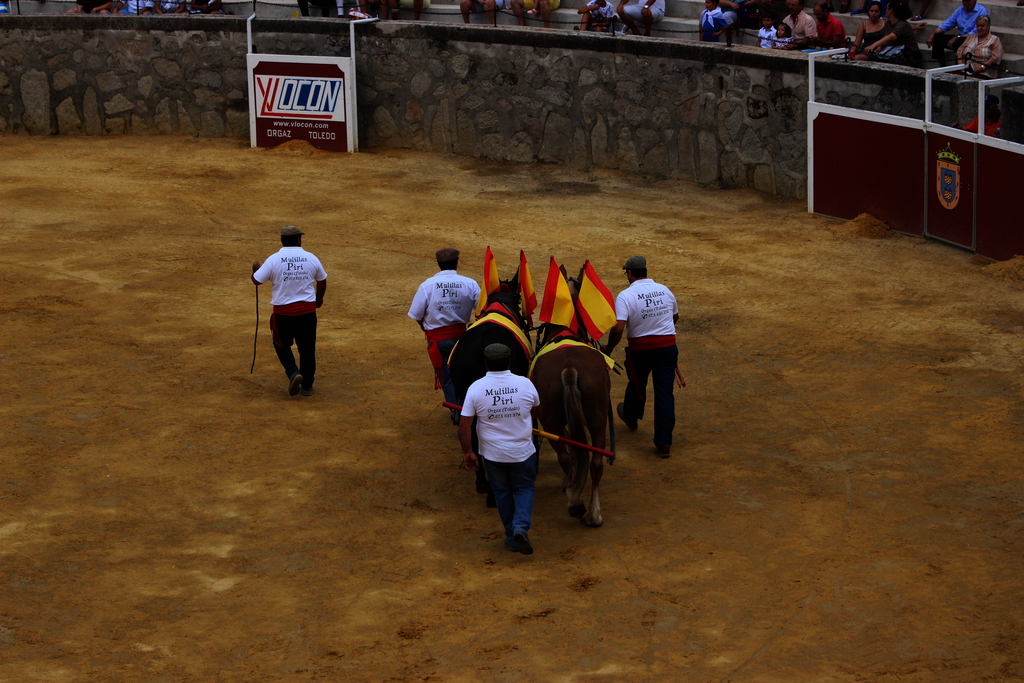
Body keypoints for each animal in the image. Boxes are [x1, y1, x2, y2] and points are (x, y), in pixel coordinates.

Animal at [530, 268, 615, 527]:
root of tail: (569, 369)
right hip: (598, 418)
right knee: (595, 462)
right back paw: (593, 513)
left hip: (550, 420)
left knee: (566, 457)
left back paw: (575, 502)